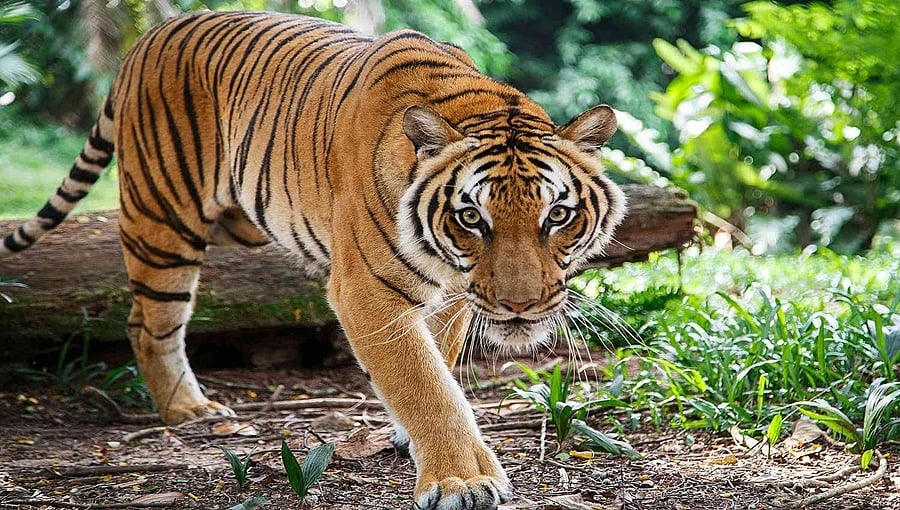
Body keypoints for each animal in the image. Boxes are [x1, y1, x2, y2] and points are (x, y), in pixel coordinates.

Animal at [0, 10, 626, 509]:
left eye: (558, 216)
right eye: (472, 218)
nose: (520, 306)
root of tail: (149, 37)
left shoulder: (453, 293)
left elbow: (440, 361)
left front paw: (413, 440)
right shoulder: (366, 290)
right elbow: (425, 383)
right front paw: (461, 481)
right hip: (163, 221)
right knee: (148, 320)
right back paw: (189, 410)